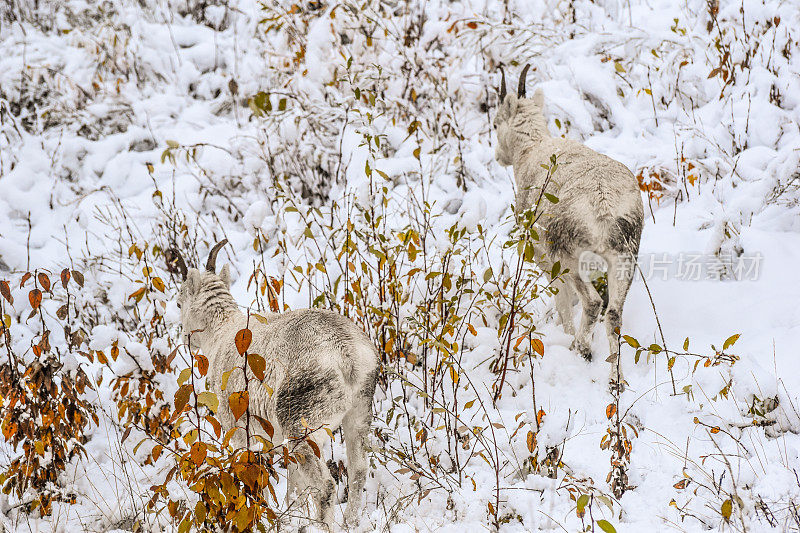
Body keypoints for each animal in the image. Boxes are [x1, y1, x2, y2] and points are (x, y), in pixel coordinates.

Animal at [168, 240, 378, 528]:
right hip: (358, 416)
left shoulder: (239, 430)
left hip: (303, 429)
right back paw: (350, 524)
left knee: (325, 486)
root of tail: (346, 356)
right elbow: (293, 483)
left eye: (179, 303)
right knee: (358, 471)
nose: (186, 341)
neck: (222, 333)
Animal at [494, 65, 644, 386]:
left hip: (568, 259)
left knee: (593, 303)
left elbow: (562, 302)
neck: (532, 150)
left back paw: (581, 348)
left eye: (496, 124)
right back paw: (615, 380)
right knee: (614, 313)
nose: (498, 158)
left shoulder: (544, 258)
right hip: (624, 258)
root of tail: (603, 206)